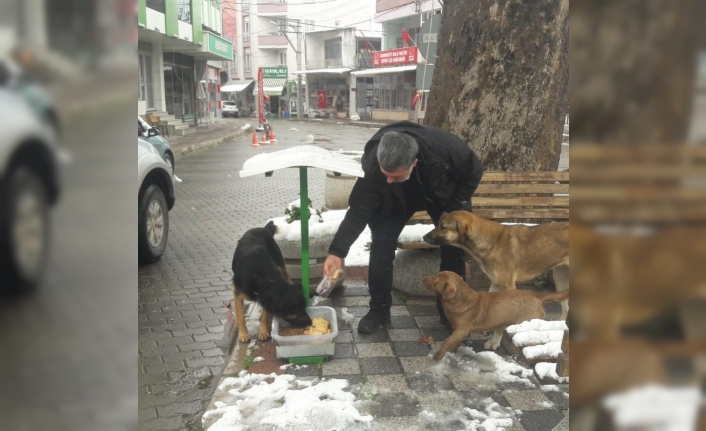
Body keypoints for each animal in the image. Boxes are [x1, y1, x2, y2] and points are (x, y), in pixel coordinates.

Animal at [424, 212, 568, 320]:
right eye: (438, 224)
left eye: (443, 227)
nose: (424, 237)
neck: (492, 242)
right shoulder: (495, 282)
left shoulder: (508, 285)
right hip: (560, 278)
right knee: (565, 307)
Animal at [424, 274, 568, 362]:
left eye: (436, 279)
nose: (423, 278)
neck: (461, 299)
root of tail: (537, 295)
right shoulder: (460, 331)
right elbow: (454, 342)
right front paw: (452, 351)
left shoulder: (461, 330)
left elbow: (447, 341)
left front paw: (438, 355)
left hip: (525, 325)